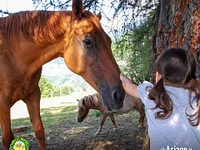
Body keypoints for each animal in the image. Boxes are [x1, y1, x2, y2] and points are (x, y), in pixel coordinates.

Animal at [0, 0, 125, 149]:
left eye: (109, 41)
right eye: (87, 41)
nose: (119, 95)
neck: (11, 55)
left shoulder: (33, 95)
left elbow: (39, 131)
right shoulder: (3, 103)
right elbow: (7, 138)